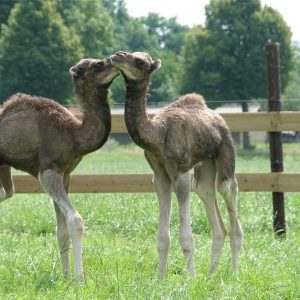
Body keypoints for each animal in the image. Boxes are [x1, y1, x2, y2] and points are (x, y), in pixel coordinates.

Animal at [0, 58, 119, 282]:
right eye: (97, 65)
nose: (117, 60)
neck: (73, 135)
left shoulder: (65, 175)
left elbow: (61, 229)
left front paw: (65, 276)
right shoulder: (48, 172)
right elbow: (75, 221)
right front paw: (79, 278)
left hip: (3, 166)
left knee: (7, 191)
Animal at [111, 51, 243, 276]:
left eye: (140, 61)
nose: (116, 56)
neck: (158, 135)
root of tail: (219, 119)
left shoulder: (180, 173)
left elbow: (186, 238)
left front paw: (191, 278)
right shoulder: (160, 176)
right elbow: (163, 238)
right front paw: (160, 278)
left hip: (226, 150)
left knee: (228, 195)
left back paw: (233, 274)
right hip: (205, 166)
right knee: (210, 200)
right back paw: (211, 275)